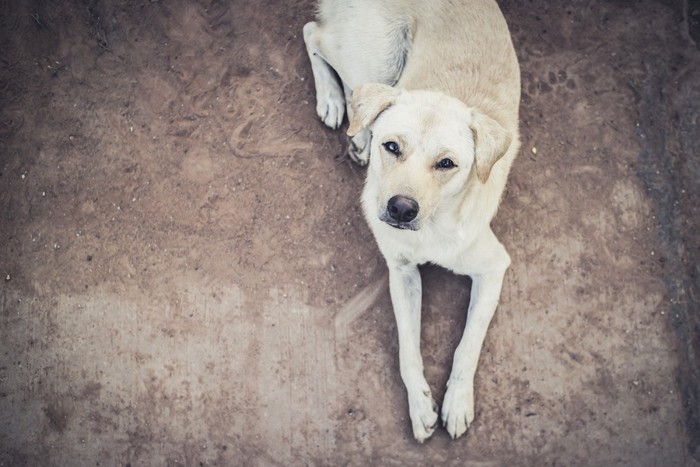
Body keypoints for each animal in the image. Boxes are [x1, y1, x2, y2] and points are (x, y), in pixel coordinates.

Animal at [304, 0, 524, 442]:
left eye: (447, 164)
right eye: (393, 147)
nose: (401, 209)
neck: (434, 228)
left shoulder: (494, 267)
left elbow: (468, 344)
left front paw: (457, 402)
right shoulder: (401, 271)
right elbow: (408, 350)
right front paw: (421, 407)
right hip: (376, 57)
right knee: (313, 34)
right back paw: (336, 104)